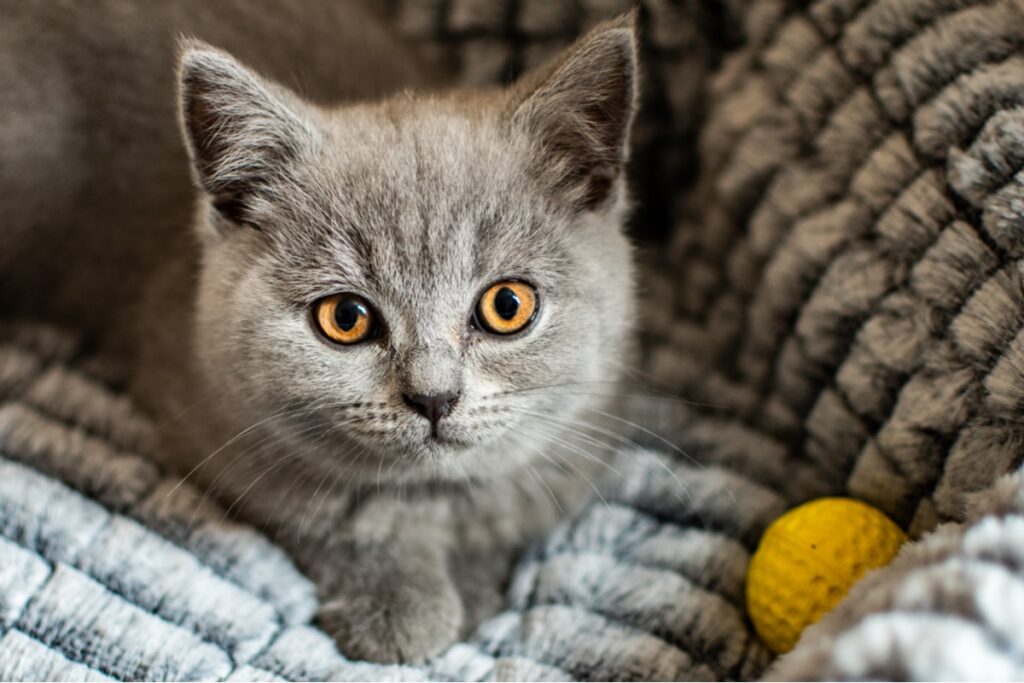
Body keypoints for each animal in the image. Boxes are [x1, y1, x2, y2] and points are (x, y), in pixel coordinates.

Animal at [2, 0, 638, 663]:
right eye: (346, 318)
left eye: (508, 305)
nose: (433, 396)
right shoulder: (206, 421)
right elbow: (323, 519)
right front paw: (397, 605)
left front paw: (472, 588)